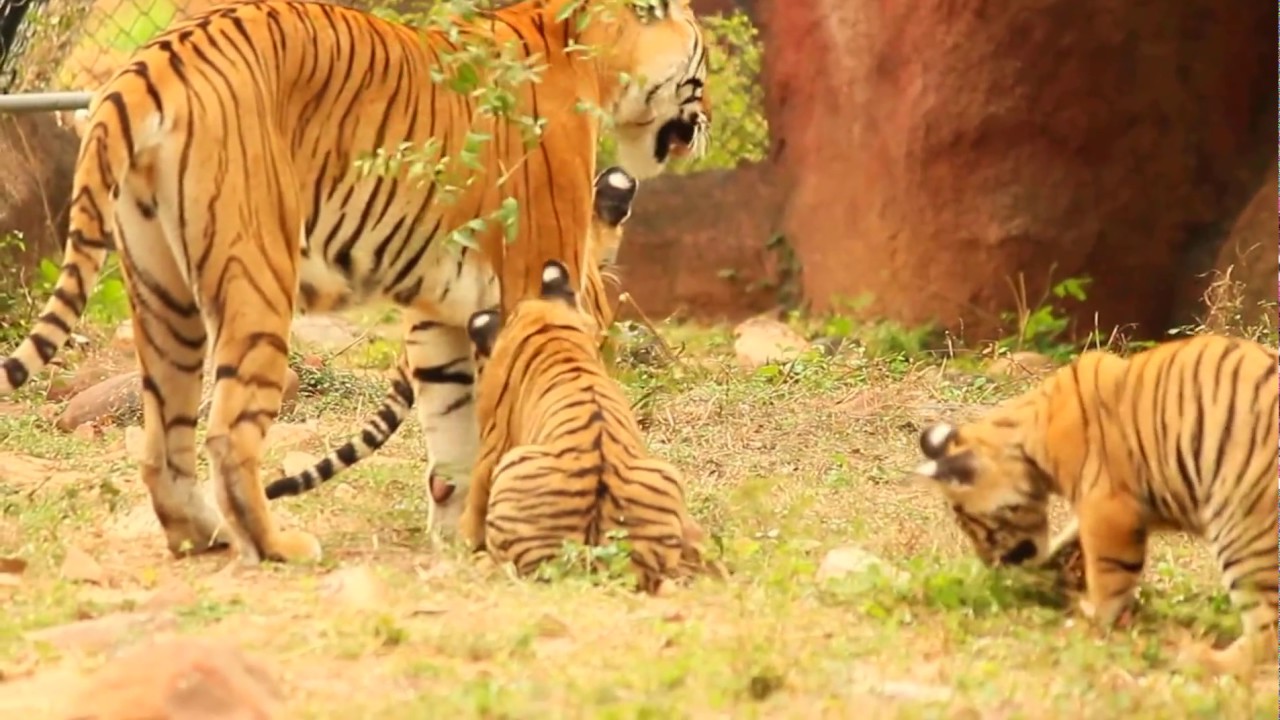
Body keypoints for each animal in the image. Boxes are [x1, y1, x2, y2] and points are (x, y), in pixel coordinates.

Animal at [456, 258, 707, 594]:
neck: (549, 328)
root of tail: (595, 560)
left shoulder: (492, 447)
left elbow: (473, 508)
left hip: (513, 466)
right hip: (665, 475)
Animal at [910, 333, 1279, 676]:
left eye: (978, 527)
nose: (993, 566)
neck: (1024, 437)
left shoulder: (1107, 507)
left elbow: (1107, 573)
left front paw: (1093, 620)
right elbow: (1069, 542)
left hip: (1244, 530)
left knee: (1267, 628)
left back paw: (1204, 659)